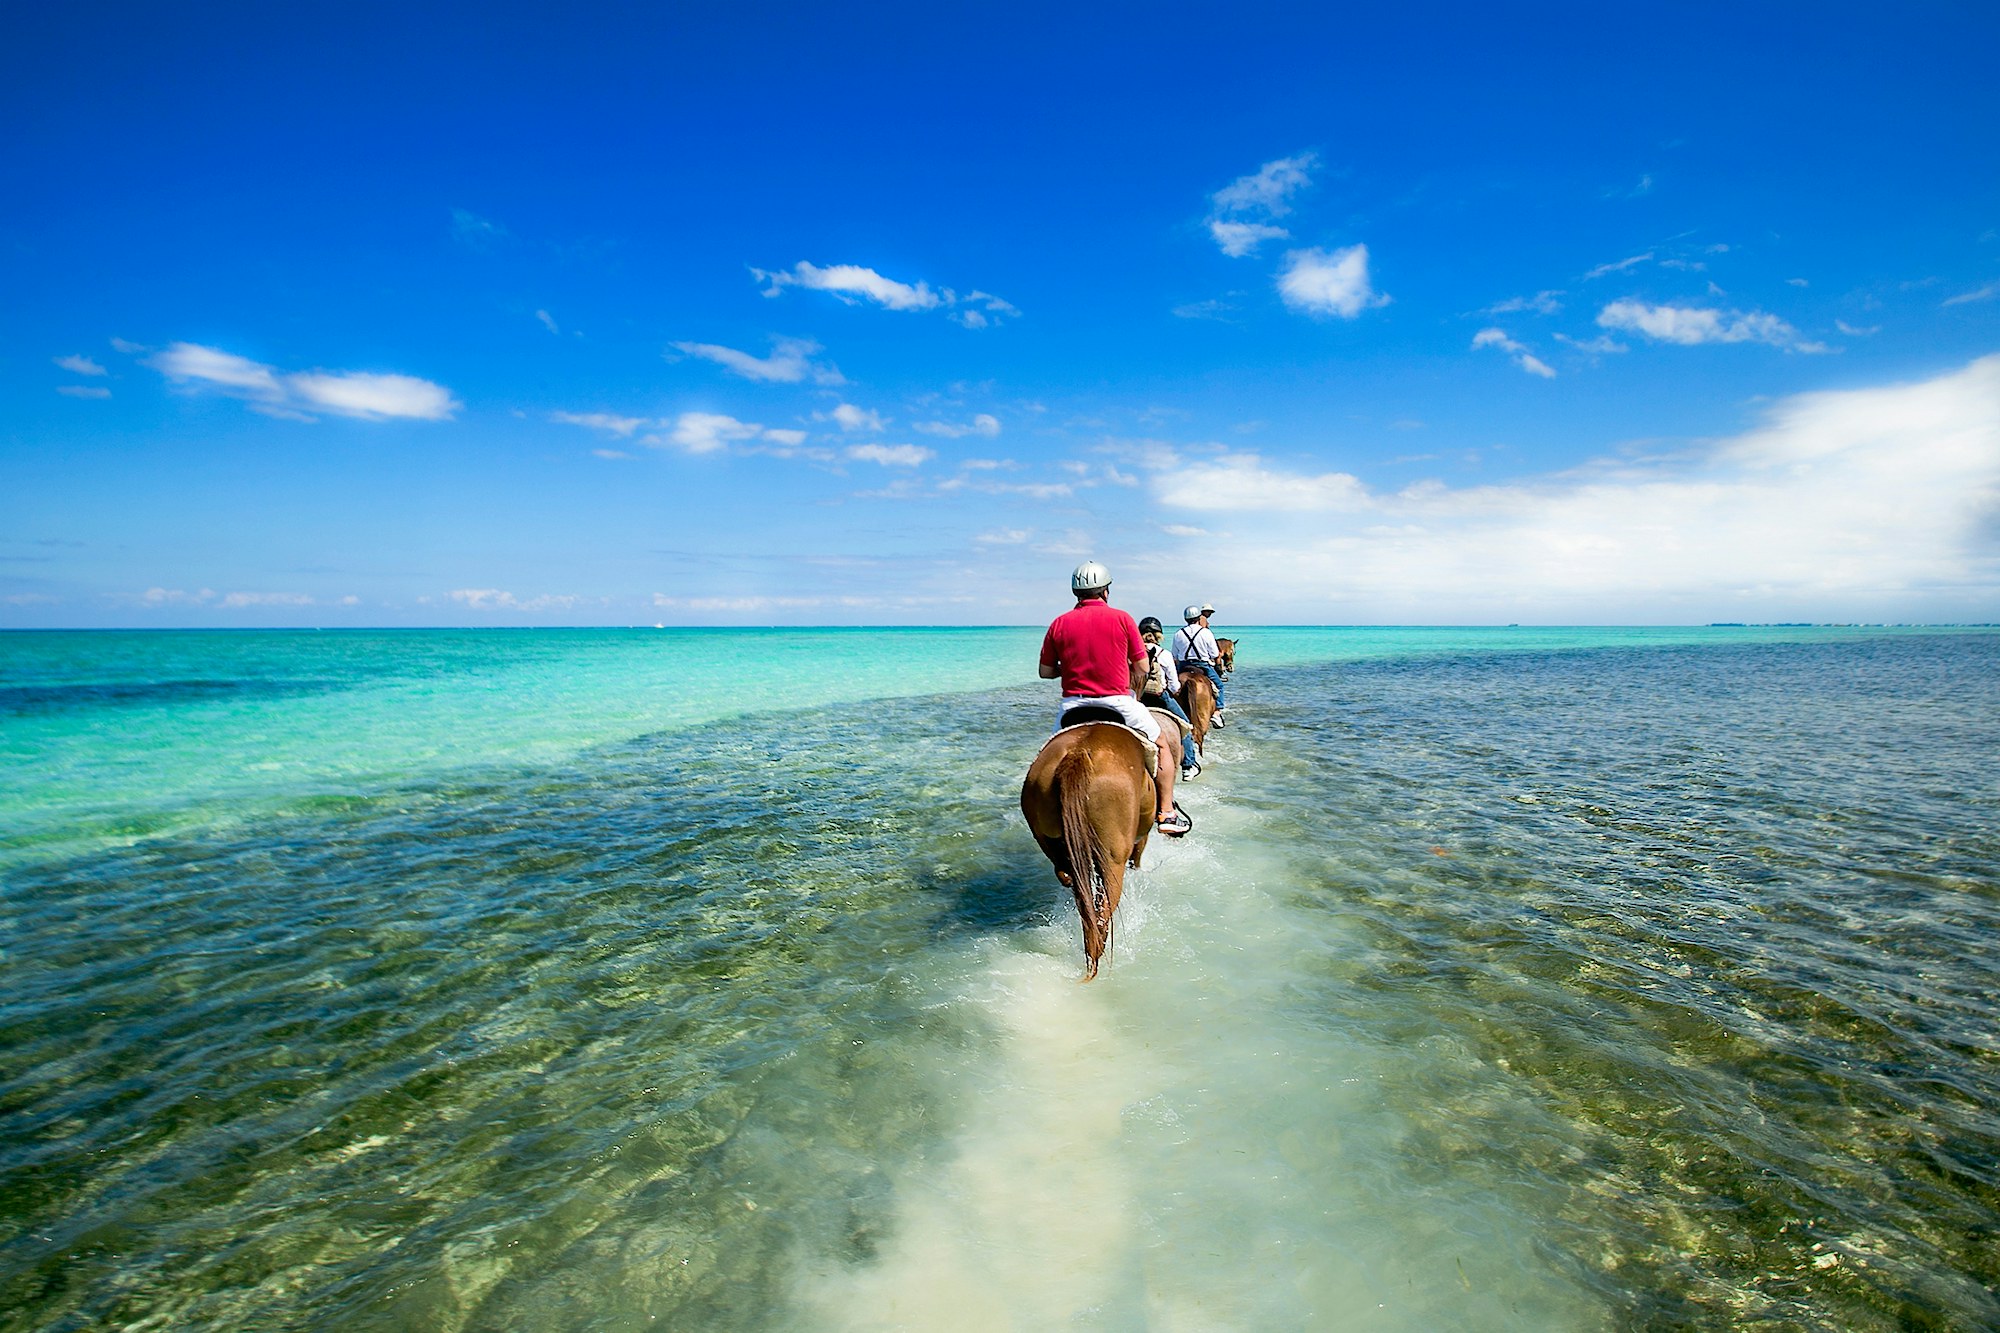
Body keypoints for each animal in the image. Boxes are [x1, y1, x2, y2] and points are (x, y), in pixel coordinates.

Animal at [1016, 728, 1160, 976]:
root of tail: (1078, 755)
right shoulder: (1139, 841)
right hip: (1113, 861)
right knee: (1102, 912)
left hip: (1052, 840)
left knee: (1074, 887)